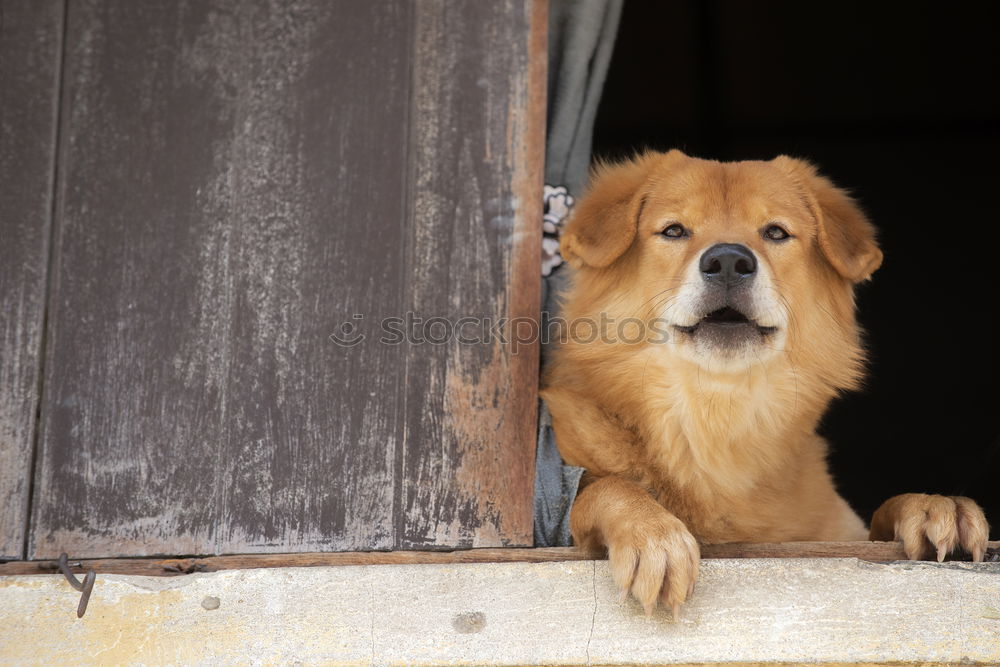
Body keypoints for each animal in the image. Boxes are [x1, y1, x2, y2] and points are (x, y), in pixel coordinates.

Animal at [540, 149, 984, 620]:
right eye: (674, 230)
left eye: (775, 232)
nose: (728, 262)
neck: (714, 415)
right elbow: (603, 486)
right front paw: (651, 530)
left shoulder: (834, 533)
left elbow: (878, 521)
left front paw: (930, 504)